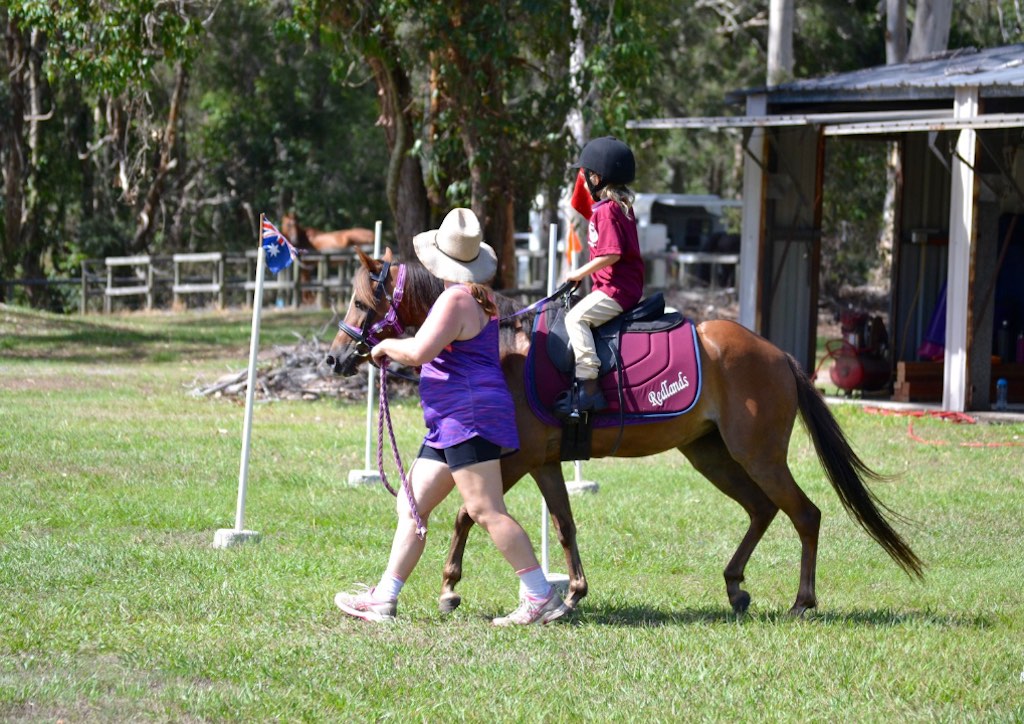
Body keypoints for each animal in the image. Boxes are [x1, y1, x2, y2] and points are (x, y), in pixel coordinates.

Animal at [325, 248, 923, 616]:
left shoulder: (514, 459)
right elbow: (563, 525)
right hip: (712, 454)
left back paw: (802, 601)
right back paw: (735, 586)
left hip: (758, 455)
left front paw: (450, 588)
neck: (504, 350)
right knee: (762, 510)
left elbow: (467, 515)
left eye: (358, 301)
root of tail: (778, 354)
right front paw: (572, 594)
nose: (333, 358)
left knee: (805, 514)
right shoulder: (544, 462)